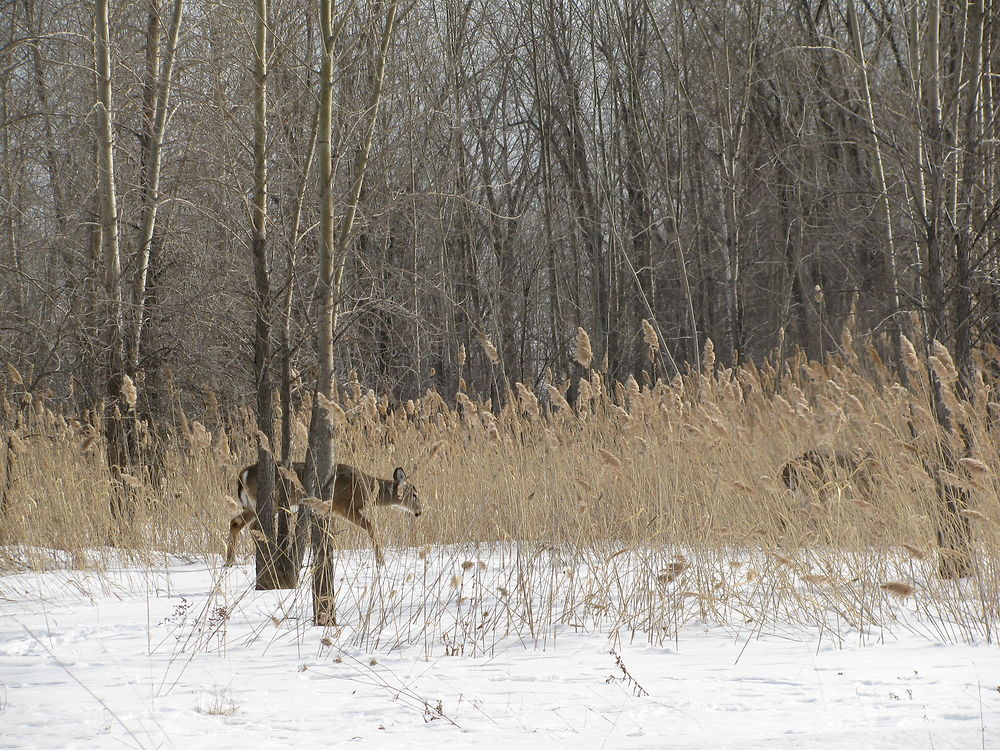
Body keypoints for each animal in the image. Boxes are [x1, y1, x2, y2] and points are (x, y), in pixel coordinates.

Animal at [225, 462, 420, 568]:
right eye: (414, 494)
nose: (419, 512)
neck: (366, 488)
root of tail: (242, 474)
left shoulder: (330, 511)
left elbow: (331, 534)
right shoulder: (346, 506)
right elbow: (370, 526)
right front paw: (380, 561)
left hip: (251, 506)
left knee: (235, 522)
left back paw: (229, 562)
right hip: (271, 501)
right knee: (254, 526)